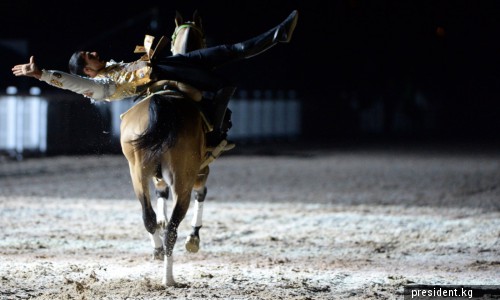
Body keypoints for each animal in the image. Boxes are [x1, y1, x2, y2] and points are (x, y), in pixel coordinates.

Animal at [120, 11, 211, 288]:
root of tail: (163, 105)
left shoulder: (155, 173)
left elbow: (159, 198)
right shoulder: (202, 168)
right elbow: (202, 194)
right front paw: (194, 238)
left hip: (137, 172)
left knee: (148, 217)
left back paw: (158, 250)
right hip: (184, 178)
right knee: (173, 227)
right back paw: (169, 278)